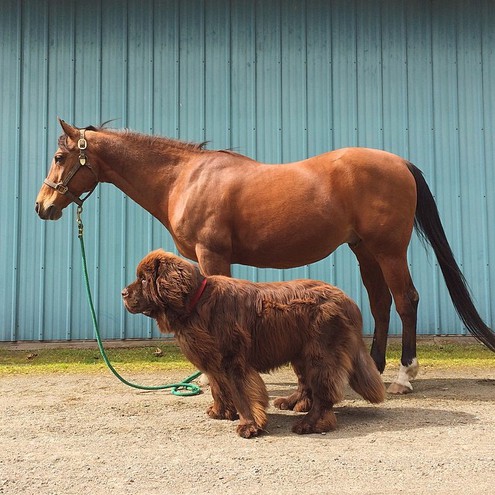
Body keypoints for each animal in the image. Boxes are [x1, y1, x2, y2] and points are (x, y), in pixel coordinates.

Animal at [35, 119, 495, 396]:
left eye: (59, 157)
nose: (43, 206)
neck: (185, 177)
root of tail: (399, 163)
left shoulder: (212, 255)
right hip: (364, 249)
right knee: (381, 303)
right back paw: (374, 370)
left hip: (388, 250)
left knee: (405, 301)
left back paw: (403, 377)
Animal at [122, 250, 386, 440]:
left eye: (143, 279)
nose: (123, 292)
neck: (195, 303)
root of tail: (348, 300)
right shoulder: (213, 362)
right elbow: (219, 388)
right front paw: (220, 412)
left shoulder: (233, 361)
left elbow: (242, 394)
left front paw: (248, 426)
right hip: (300, 351)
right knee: (306, 383)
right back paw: (293, 403)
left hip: (321, 353)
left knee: (324, 392)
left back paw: (310, 423)